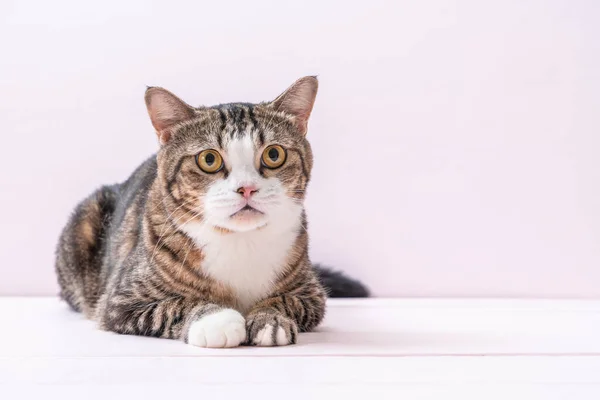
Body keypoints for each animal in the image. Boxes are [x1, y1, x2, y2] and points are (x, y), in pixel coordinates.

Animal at [55, 77, 366, 346]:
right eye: (208, 159)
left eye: (274, 154)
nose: (246, 188)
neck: (239, 241)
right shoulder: (120, 301)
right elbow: (174, 305)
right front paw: (217, 320)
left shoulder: (311, 293)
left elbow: (287, 300)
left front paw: (270, 318)